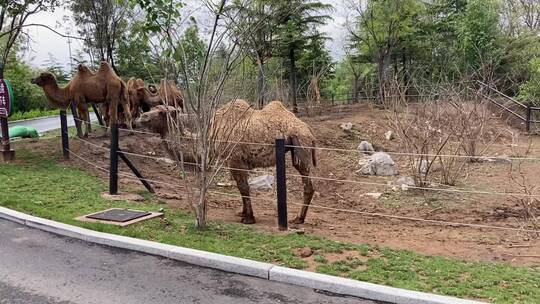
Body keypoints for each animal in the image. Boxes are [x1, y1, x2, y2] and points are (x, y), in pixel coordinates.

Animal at [134, 99, 316, 223]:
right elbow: (241, 188)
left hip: (301, 145)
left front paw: (249, 218)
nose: (141, 117)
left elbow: (243, 187)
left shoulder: (234, 160)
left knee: (308, 184)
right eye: (153, 108)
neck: (210, 136)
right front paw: (243, 213)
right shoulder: (234, 161)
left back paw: (298, 219)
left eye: (161, 113)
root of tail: (309, 129)